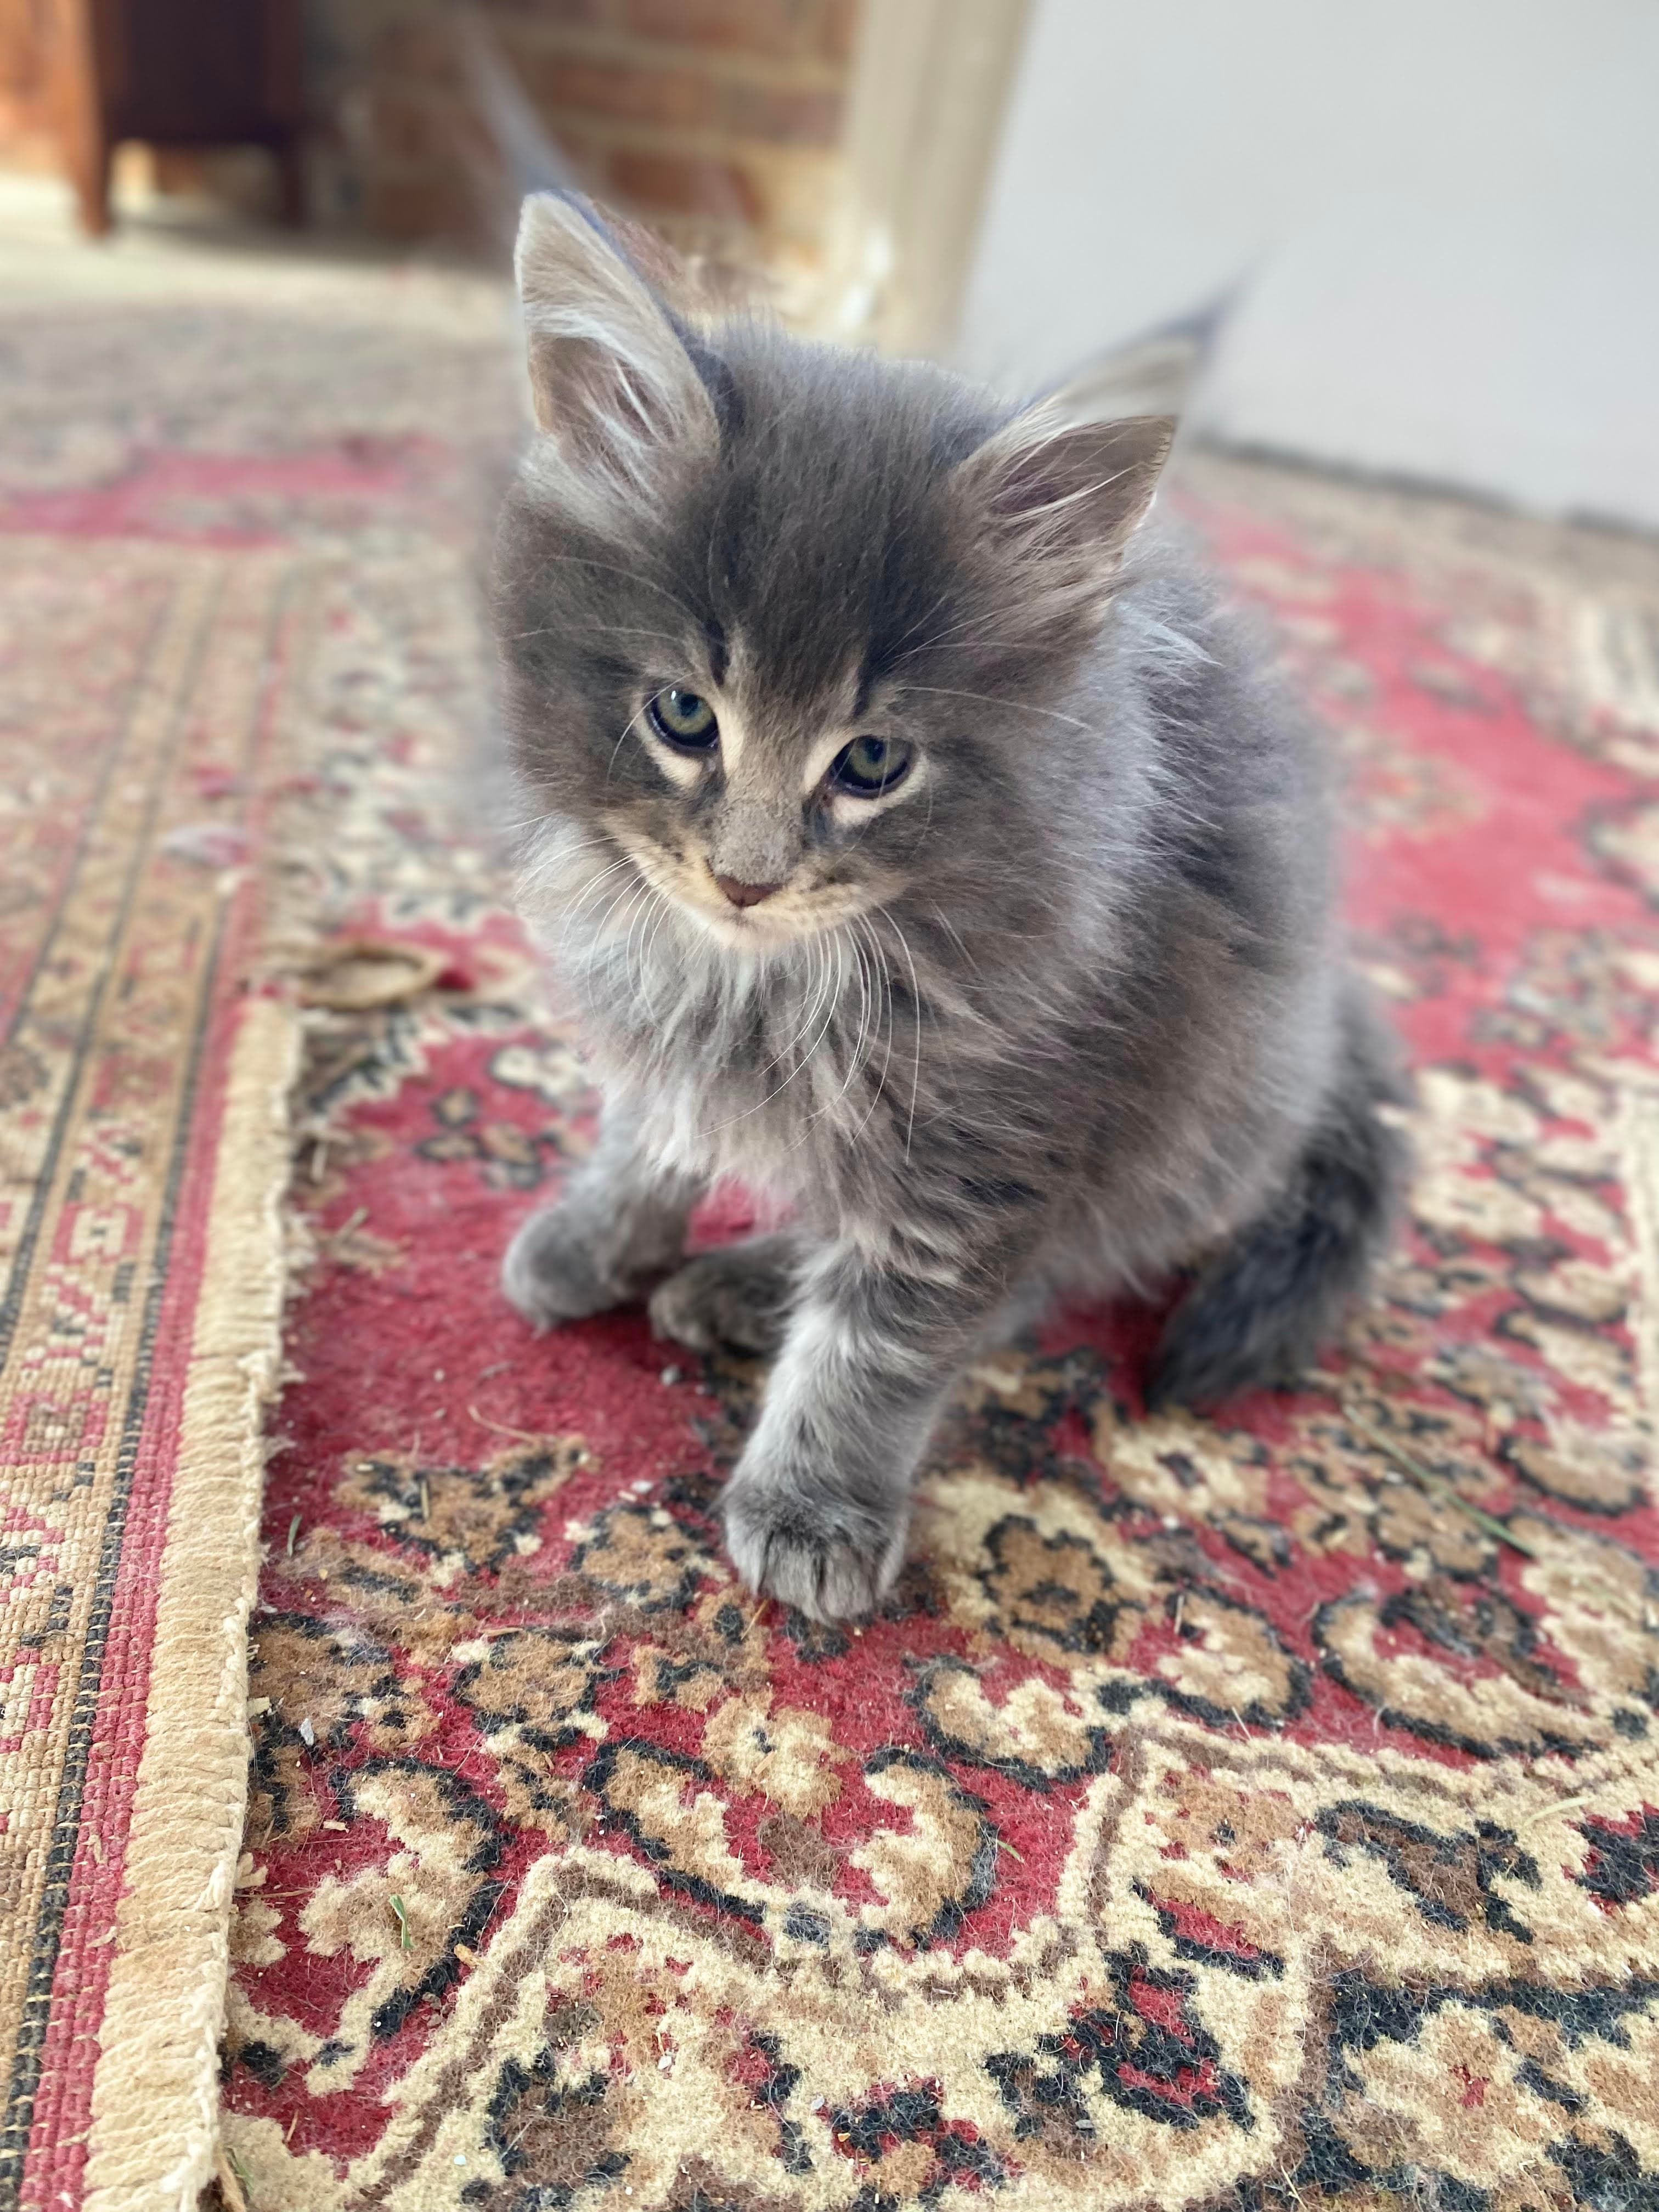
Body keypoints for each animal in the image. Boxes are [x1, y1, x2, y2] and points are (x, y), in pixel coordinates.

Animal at [498, 194, 1415, 1628]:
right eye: (683, 716)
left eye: (873, 762)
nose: (746, 878)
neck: (768, 976)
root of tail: (1331, 1005)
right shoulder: (673, 1007)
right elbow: (653, 1125)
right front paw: (598, 1234)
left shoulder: (1002, 1130)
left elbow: (888, 1331)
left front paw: (813, 1506)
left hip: (1186, 1130)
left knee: (1046, 1273)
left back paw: (749, 1287)